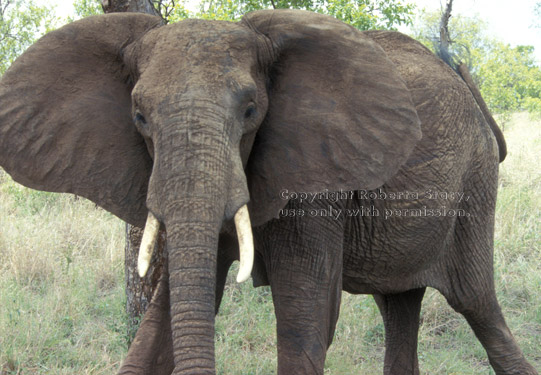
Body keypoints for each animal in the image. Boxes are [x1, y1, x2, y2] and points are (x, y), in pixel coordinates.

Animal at [0, 8, 536, 375]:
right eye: (139, 116)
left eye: (251, 111)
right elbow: (164, 318)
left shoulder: (315, 185)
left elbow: (307, 320)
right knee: (400, 305)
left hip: (474, 184)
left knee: (477, 304)